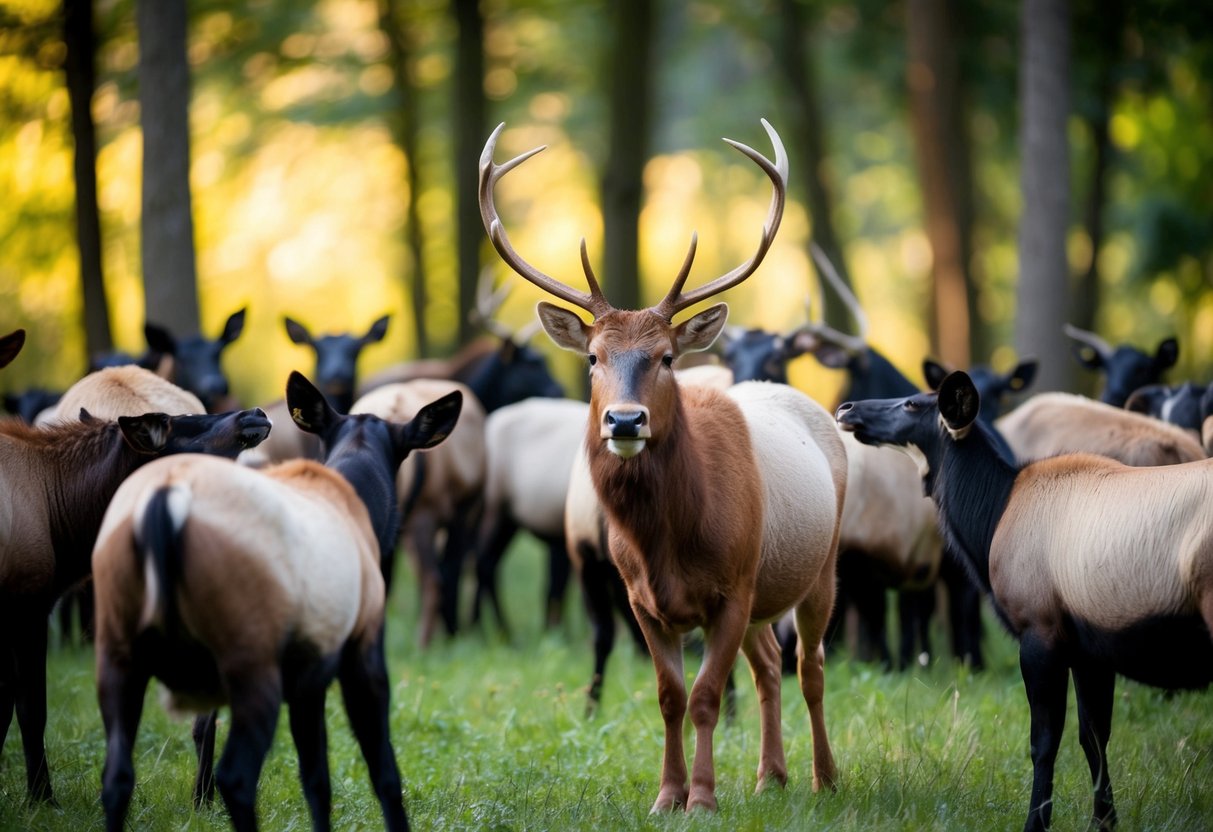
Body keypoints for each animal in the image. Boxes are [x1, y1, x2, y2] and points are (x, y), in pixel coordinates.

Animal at [482, 119, 847, 812]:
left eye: (667, 357)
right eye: (593, 356)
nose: (625, 421)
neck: (669, 542)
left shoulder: (732, 587)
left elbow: (706, 697)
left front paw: (702, 797)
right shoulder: (641, 599)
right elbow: (671, 697)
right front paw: (666, 795)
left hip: (822, 565)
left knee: (809, 668)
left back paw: (824, 778)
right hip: (765, 589)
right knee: (768, 667)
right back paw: (770, 776)